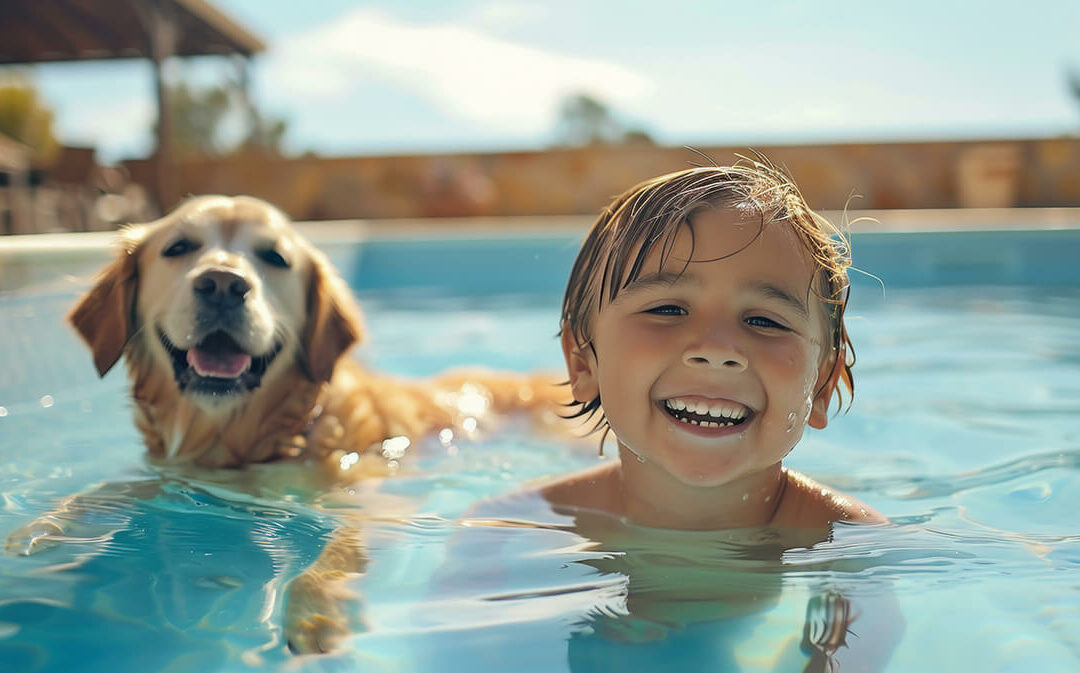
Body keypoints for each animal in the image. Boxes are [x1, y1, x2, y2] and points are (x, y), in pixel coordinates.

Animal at [4, 193, 570, 652]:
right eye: (179, 247)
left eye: (274, 258)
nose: (223, 284)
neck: (244, 440)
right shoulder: (174, 473)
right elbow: (97, 491)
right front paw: (36, 530)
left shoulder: (374, 500)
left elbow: (335, 554)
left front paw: (316, 616)